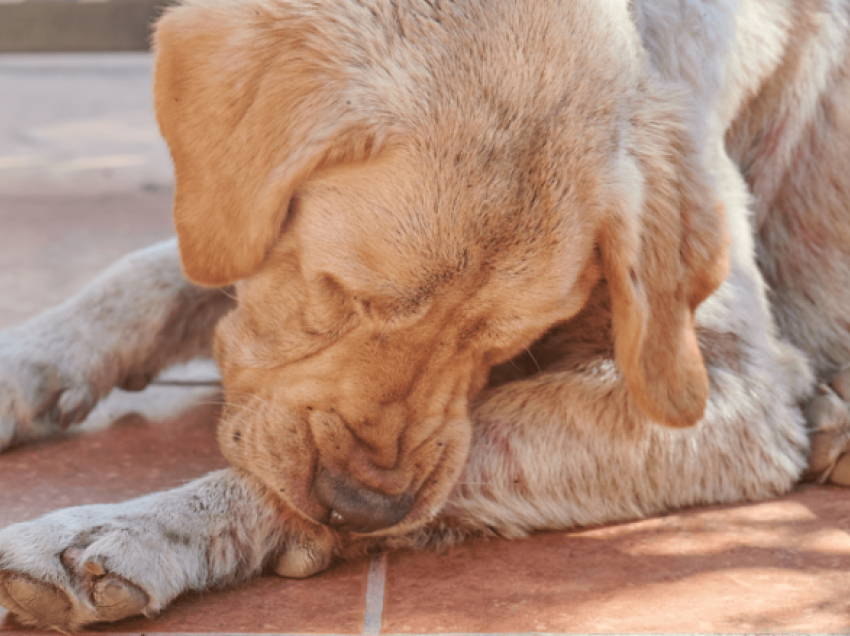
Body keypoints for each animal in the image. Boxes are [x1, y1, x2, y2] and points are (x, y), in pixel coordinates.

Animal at [1, 1, 848, 632]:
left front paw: (135, 529)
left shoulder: (735, 395)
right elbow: (153, 275)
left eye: (508, 342)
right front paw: (22, 366)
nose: (362, 506)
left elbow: (463, 450)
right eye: (348, 295)